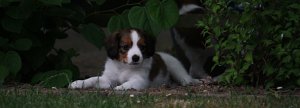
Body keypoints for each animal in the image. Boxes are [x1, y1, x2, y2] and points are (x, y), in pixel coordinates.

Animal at [69, 28, 198, 90]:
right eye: (125, 47)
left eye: (142, 47)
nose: (136, 58)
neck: (123, 66)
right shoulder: (107, 79)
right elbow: (92, 79)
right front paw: (78, 83)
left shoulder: (140, 80)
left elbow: (129, 83)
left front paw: (120, 87)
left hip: (175, 66)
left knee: (185, 77)